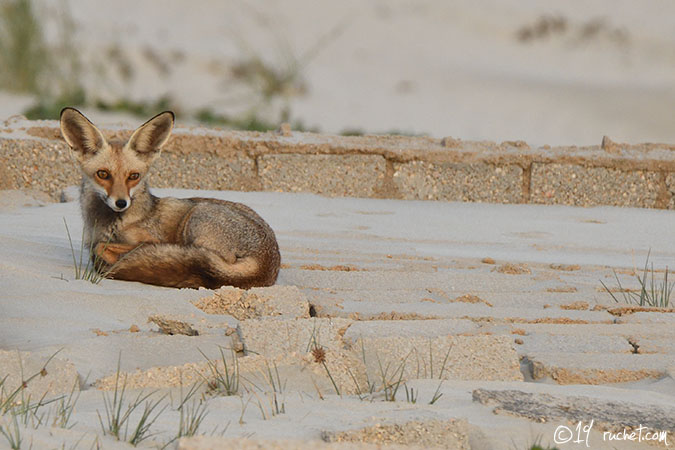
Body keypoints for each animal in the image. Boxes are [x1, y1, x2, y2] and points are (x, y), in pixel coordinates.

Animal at [58, 107, 280, 288]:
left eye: (133, 176)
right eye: (103, 174)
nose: (121, 203)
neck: (106, 225)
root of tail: (266, 263)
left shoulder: (151, 239)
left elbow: (101, 248)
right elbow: (98, 247)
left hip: (196, 219)